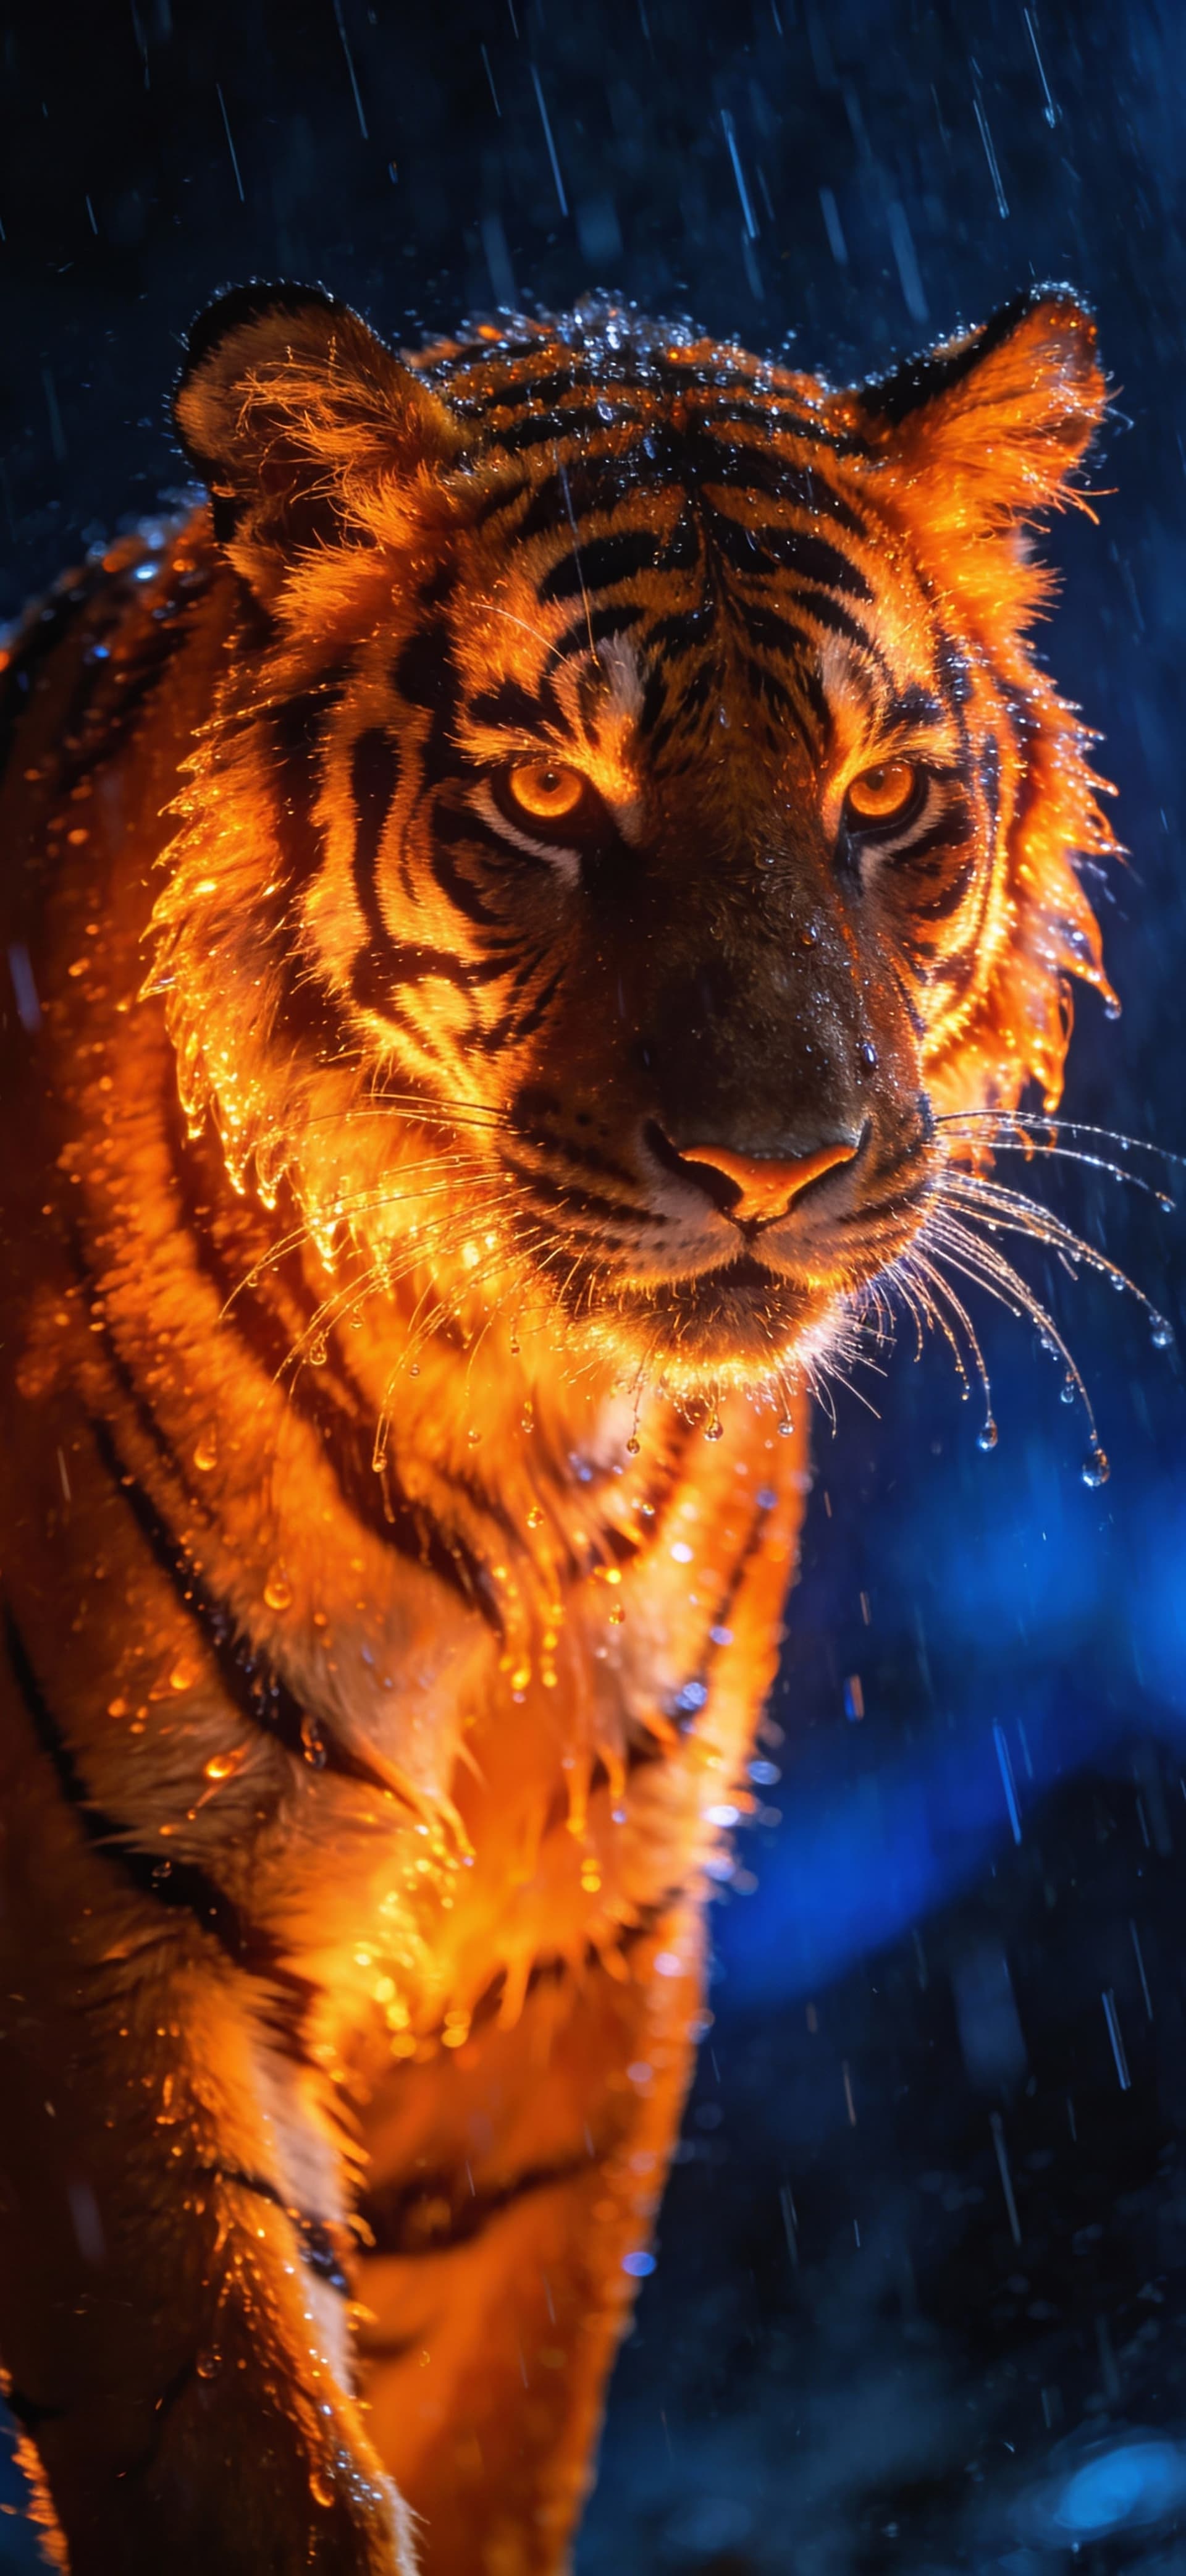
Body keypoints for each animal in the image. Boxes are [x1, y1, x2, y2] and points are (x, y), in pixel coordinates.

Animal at [0, 277, 1112, 2575]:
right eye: (540, 791)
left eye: (884, 794)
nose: (775, 1163)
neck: (520, 1427)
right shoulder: (96, 1938)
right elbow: (242, 2470)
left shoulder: (569, 1978)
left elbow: (490, 2441)